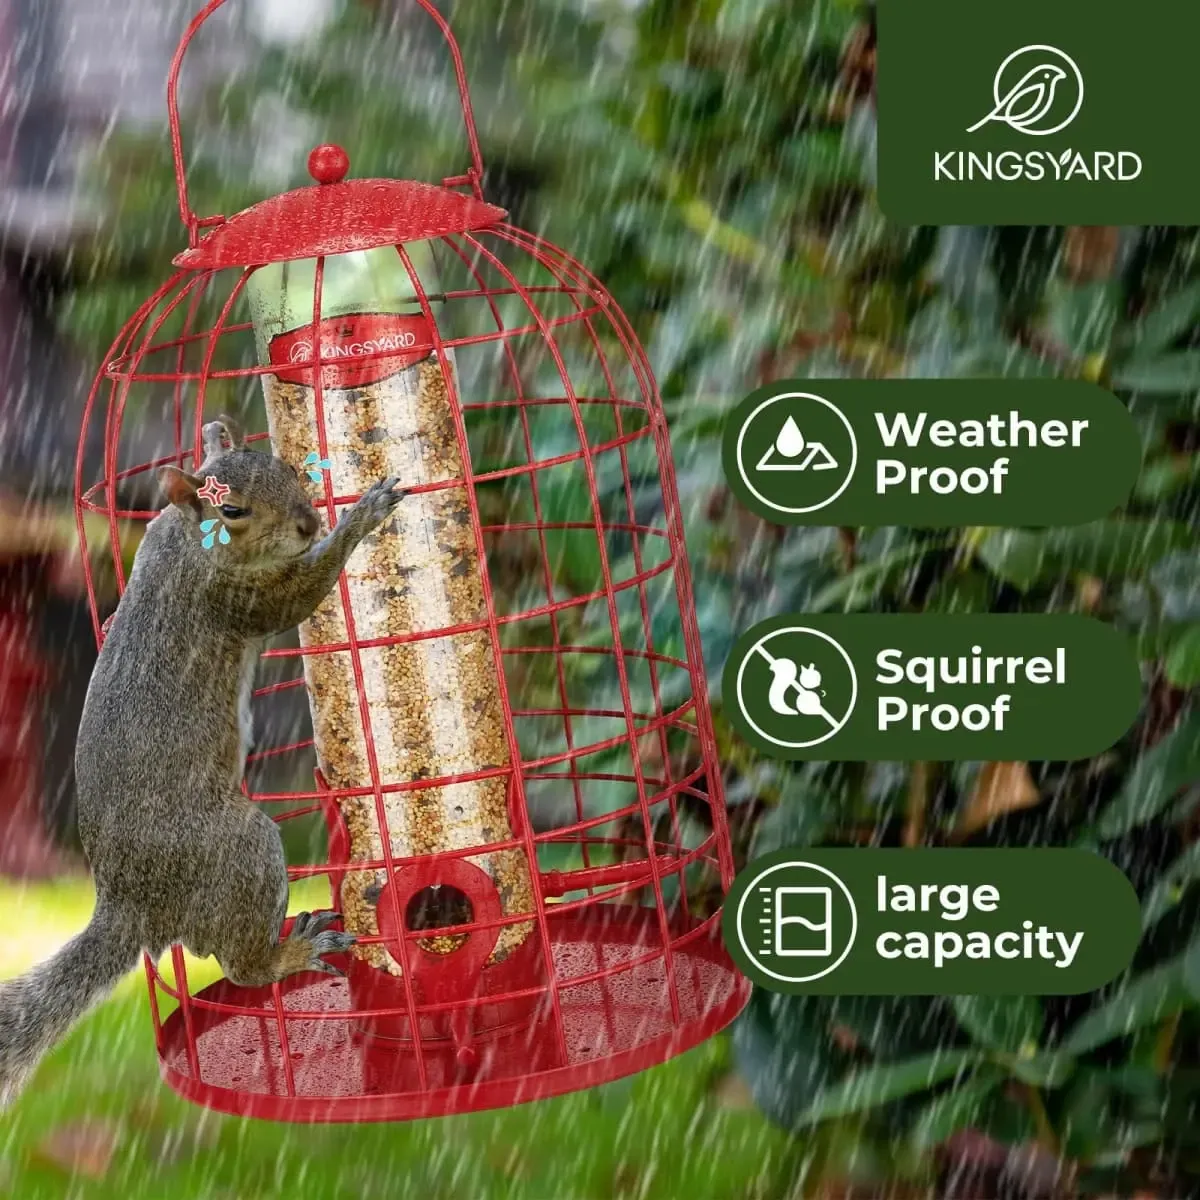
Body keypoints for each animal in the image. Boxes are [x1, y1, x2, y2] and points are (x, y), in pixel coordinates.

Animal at [0, 415, 407, 1108]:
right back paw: (288, 954)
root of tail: (132, 901)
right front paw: (360, 517)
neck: (190, 544)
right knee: (240, 966)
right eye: (232, 510)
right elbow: (298, 595)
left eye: (285, 467)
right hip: (239, 850)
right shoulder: (230, 598)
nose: (308, 523)